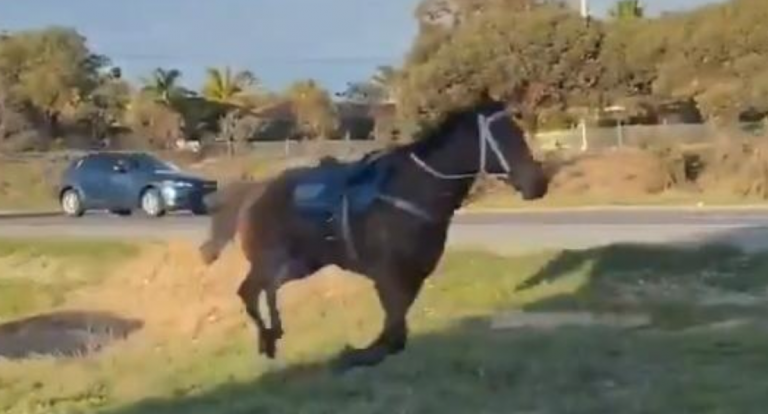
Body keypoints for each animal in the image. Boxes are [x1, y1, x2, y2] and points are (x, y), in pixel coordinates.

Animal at [199, 93, 550, 372]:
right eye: (504, 135)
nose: (538, 183)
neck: (412, 191)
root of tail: (255, 192)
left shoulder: (412, 277)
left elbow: (395, 335)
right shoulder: (388, 276)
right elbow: (393, 337)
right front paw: (350, 356)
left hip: (302, 264)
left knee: (268, 289)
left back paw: (274, 334)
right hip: (270, 259)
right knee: (248, 291)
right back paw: (267, 339)